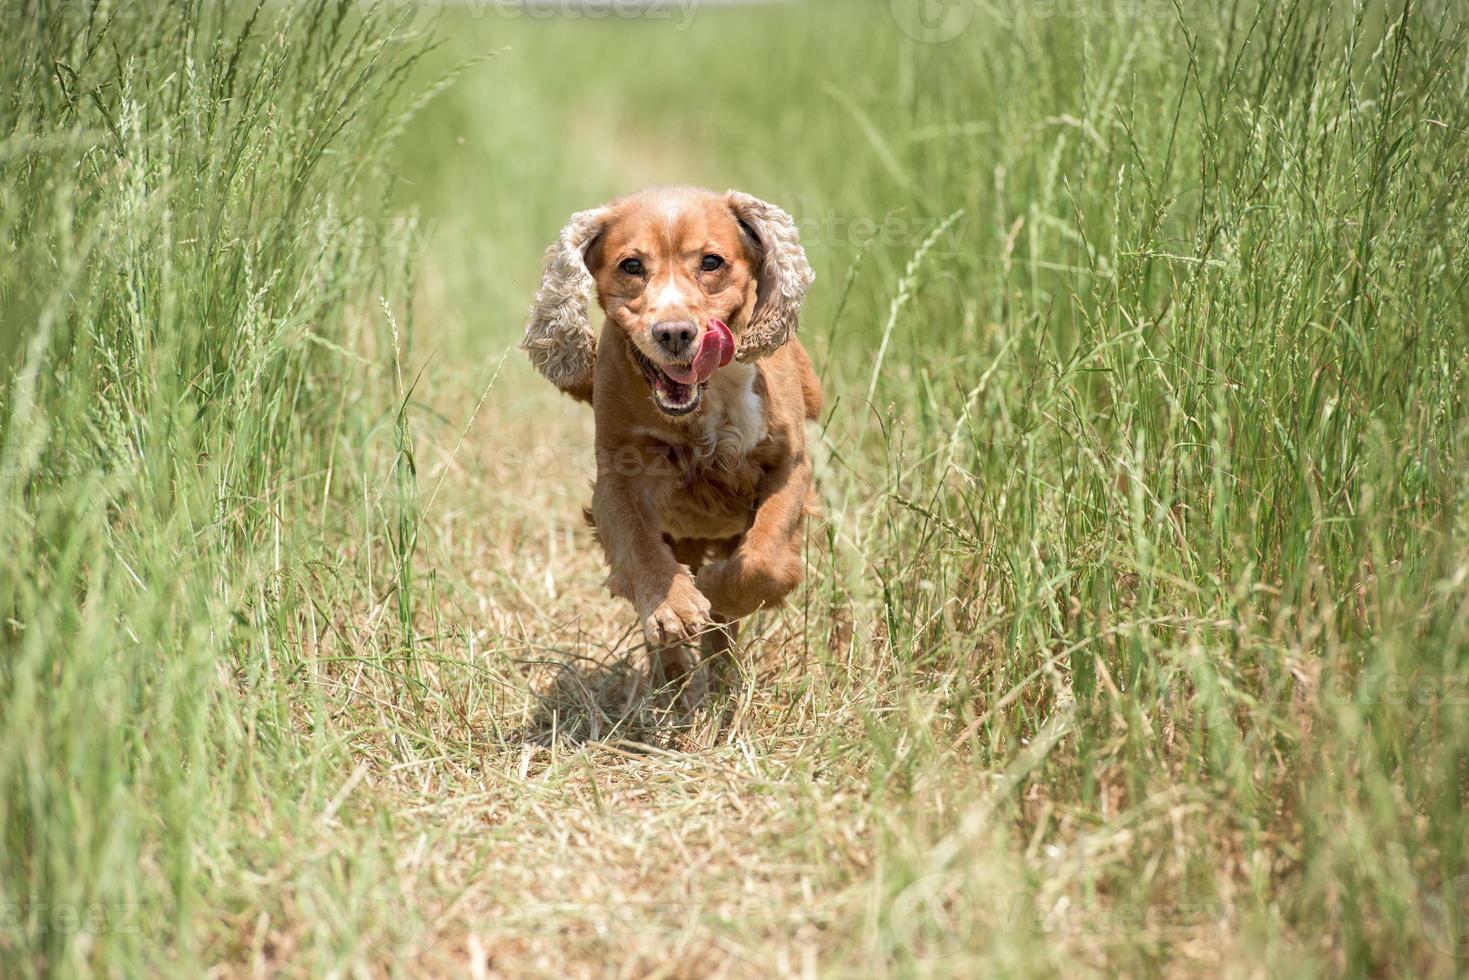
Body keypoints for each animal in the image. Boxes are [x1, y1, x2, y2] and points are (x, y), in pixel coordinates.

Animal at [525, 185, 828, 690]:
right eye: (631, 265)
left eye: (711, 262)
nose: (674, 333)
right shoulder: (619, 475)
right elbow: (638, 544)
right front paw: (672, 607)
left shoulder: (789, 464)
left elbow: (764, 556)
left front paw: (718, 591)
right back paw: (673, 680)